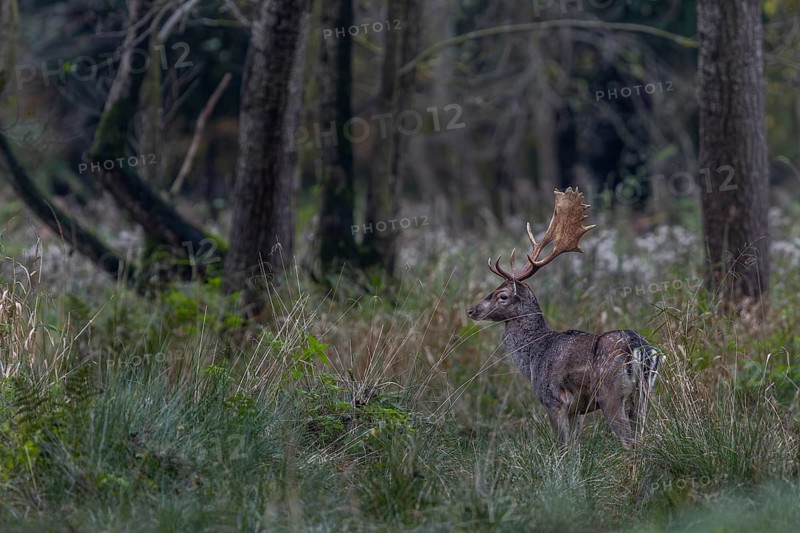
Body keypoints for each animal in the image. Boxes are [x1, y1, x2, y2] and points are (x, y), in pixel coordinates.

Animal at [467, 188, 660, 449]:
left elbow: (562, 445)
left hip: (611, 394)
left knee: (629, 441)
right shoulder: (576, 410)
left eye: (502, 296)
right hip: (643, 395)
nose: (472, 311)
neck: (533, 358)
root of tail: (640, 348)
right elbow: (574, 447)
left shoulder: (553, 400)